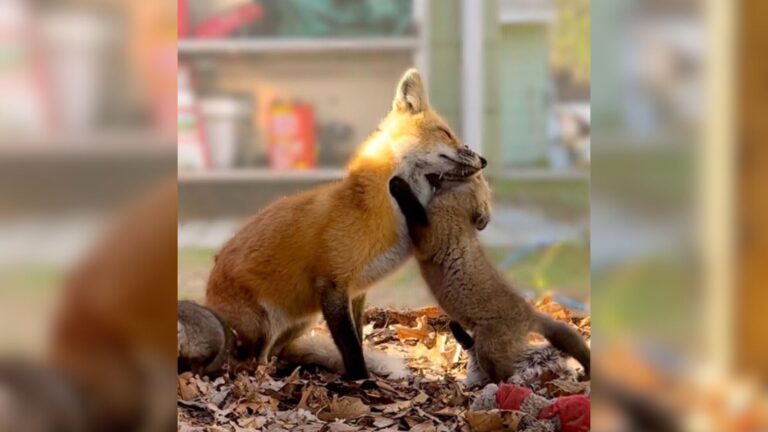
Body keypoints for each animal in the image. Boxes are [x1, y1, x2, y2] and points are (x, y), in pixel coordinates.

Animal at [202, 69, 486, 380]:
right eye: (446, 133)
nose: (484, 160)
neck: (382, 206)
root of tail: (208, 295)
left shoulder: (357, 291)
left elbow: (359, 339)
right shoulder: (332, 284)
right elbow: (350, 347)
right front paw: (362, 380)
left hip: (303, 320)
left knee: (278, 353)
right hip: (261, 327)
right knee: (251, 359)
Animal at [388, 174, 591, 383]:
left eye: (477, 176)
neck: (458, 209)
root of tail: (529, 312)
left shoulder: (427, 239)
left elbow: (414, 210)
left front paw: (398, 184)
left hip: (488, 350)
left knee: (507, 371)